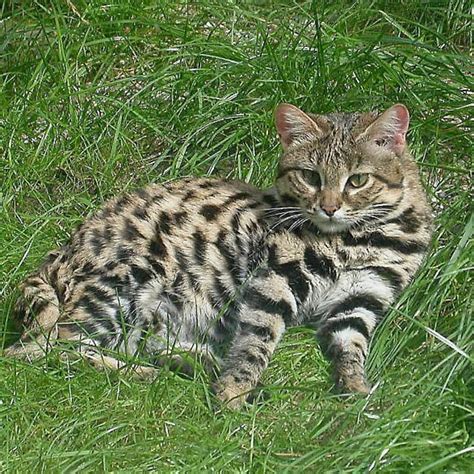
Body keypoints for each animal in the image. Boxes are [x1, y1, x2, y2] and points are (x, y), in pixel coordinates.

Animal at [3, 103, 434, 408]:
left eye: (357, 180)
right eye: (310, 177)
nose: (328, 208)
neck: (360, 237)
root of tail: (58, 255)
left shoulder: (362, 298)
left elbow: (352, 347)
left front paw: (355, 386)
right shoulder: (275, 277)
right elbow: (256, 340)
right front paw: (235, 391)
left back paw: (192, 363)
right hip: (136, 274)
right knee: (48, 349)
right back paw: (151, 374)